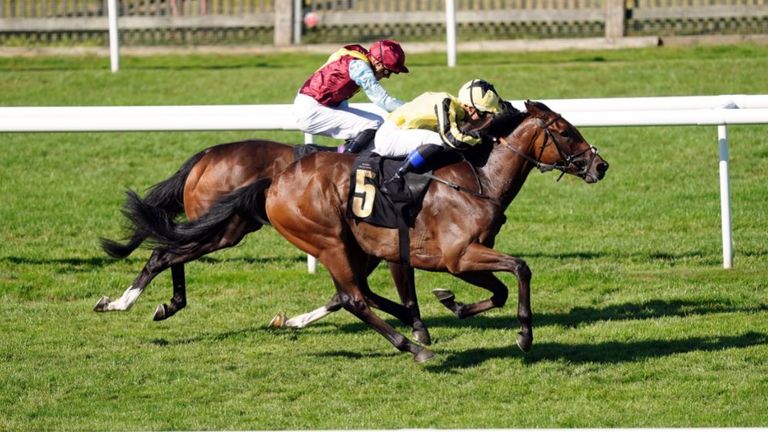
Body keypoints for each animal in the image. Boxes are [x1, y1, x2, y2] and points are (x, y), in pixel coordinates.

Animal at [120, 101, 608, 362]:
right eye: (564, 130)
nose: (600, 164)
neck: (477, 179)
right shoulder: (456, 256)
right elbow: (520, 271)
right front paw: (523, 334)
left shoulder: (426, 255)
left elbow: (499, 290)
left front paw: (450, 305)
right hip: (323, 238)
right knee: (353, 297)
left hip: (316, 239)